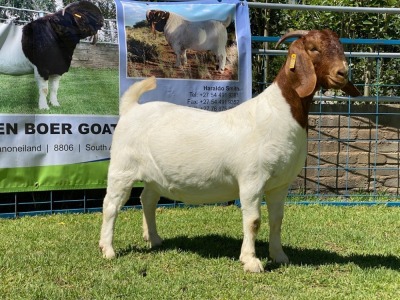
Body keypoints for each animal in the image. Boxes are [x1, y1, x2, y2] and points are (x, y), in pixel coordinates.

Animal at [98, 29, 360, 272]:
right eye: (314, 48)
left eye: (339, 46)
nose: (342, 73)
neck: (279, 112)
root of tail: (131, 108)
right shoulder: (252, 179)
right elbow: (254, 221)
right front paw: (251, 261)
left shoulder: (279, 184)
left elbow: (277, 219)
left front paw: (279, 256)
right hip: (122, 168)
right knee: (111, 205)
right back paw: (108, 249)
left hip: (154, 175)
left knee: (147, 200)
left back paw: (153, 238)